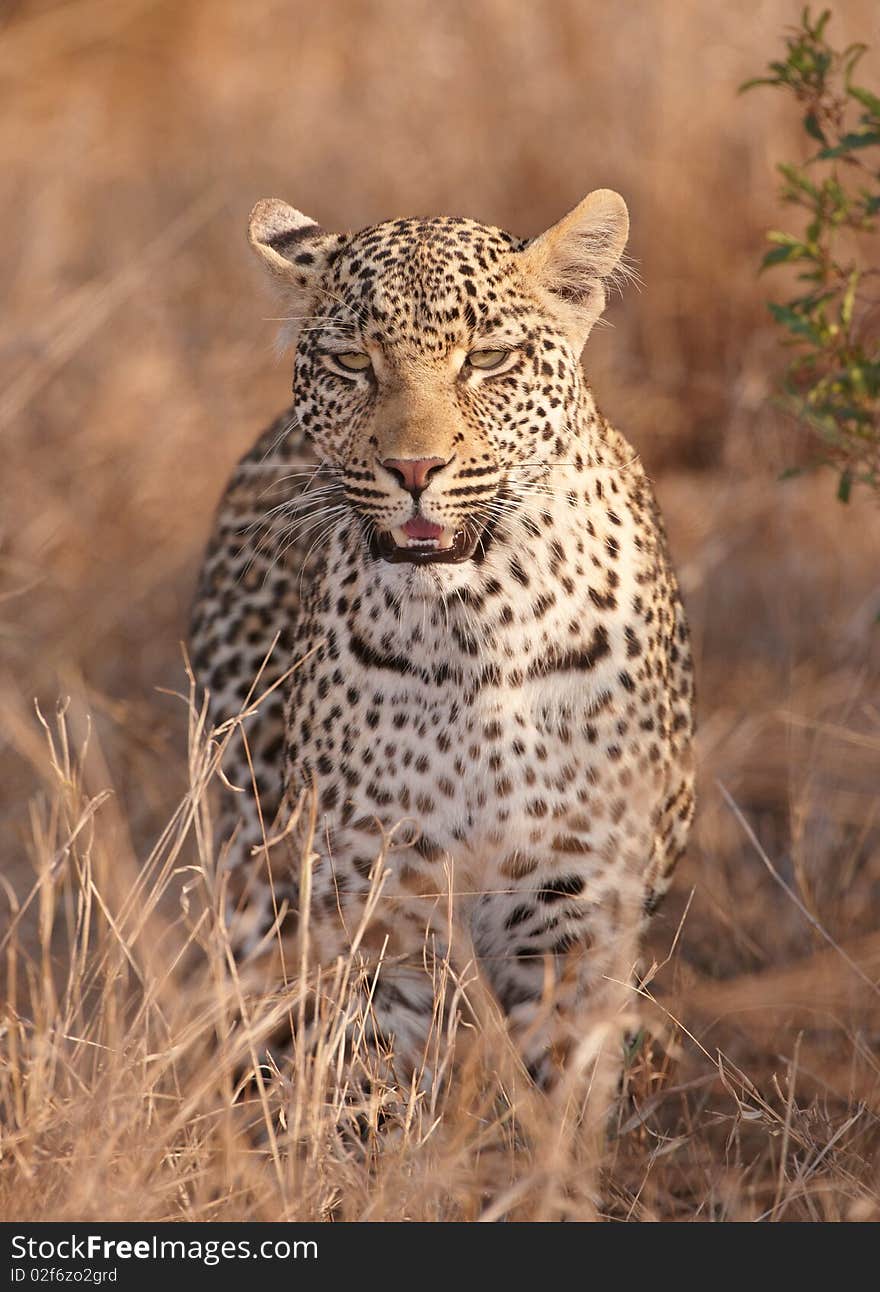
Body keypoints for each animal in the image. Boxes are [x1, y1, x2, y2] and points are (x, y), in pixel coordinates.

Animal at [189, 188, 692, 1111]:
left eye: (487, 359)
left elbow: (566, 1080)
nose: (415, 469)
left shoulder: (574, 901)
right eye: (352, 362)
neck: (474, 627)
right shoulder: (381, 898)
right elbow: (382, 1075)